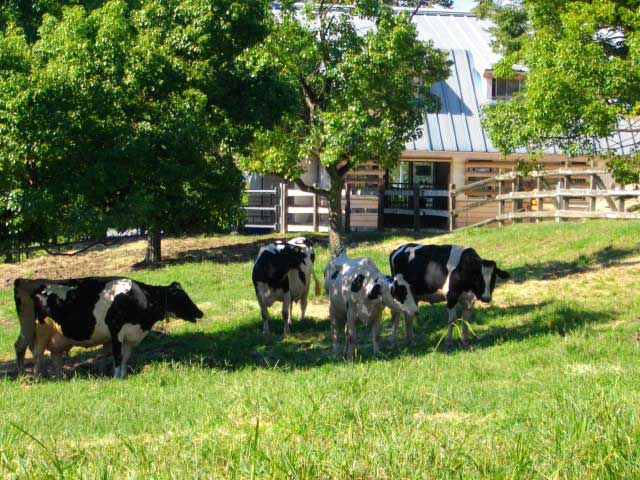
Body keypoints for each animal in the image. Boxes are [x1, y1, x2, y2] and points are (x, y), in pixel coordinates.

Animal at [13, 278, 202, 378]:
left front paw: (123, 375)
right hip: (40, 329)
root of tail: (38, 285)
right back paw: (35, 377)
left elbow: (125, 357)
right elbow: (117, 356)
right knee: (35, 353)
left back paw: (59, 378)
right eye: (181, 297)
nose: (200, 313)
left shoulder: (131, 336)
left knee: (54, 355)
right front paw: (117, 377)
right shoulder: (116, 330)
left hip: (54, 335)